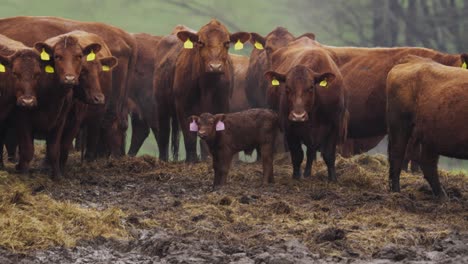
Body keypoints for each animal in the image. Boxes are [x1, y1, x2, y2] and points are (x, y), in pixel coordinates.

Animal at [167, 19, 250, 163]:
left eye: (227, 42)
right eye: (200, 42)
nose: (215, 67)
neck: (206, 86)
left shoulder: (222, 105)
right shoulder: (183, 106)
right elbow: (189, 135)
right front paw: (192, 160)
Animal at [264, 37, 348, 182]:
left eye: (311, 88)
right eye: (287, 88)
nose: (298, 116)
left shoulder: (334, 125)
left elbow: (329, 155)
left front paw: (333, 178)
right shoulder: (289, 128)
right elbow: (297, 155)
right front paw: (296, 176)